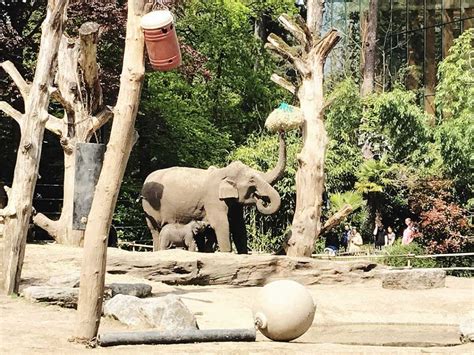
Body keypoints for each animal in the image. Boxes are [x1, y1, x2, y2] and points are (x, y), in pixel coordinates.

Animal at [143, 133, 286, 253]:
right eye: (252, 180)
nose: (281, 131)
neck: (223, 171)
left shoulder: (233, 204)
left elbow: (239, 226)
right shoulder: (213, 199)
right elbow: (222, 224)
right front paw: (227, 253)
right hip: (150, 209)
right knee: (155, 229)